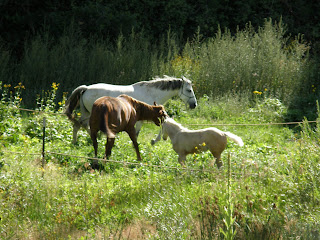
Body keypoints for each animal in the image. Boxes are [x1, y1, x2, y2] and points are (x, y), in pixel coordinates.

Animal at [64, 76, 196, 143]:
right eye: (189, 90)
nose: (194, 104)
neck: (152, 93)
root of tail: (86, 88)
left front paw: (155, 140)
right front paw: (154, 140)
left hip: (87, 113)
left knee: (81, 125)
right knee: (82, 125)